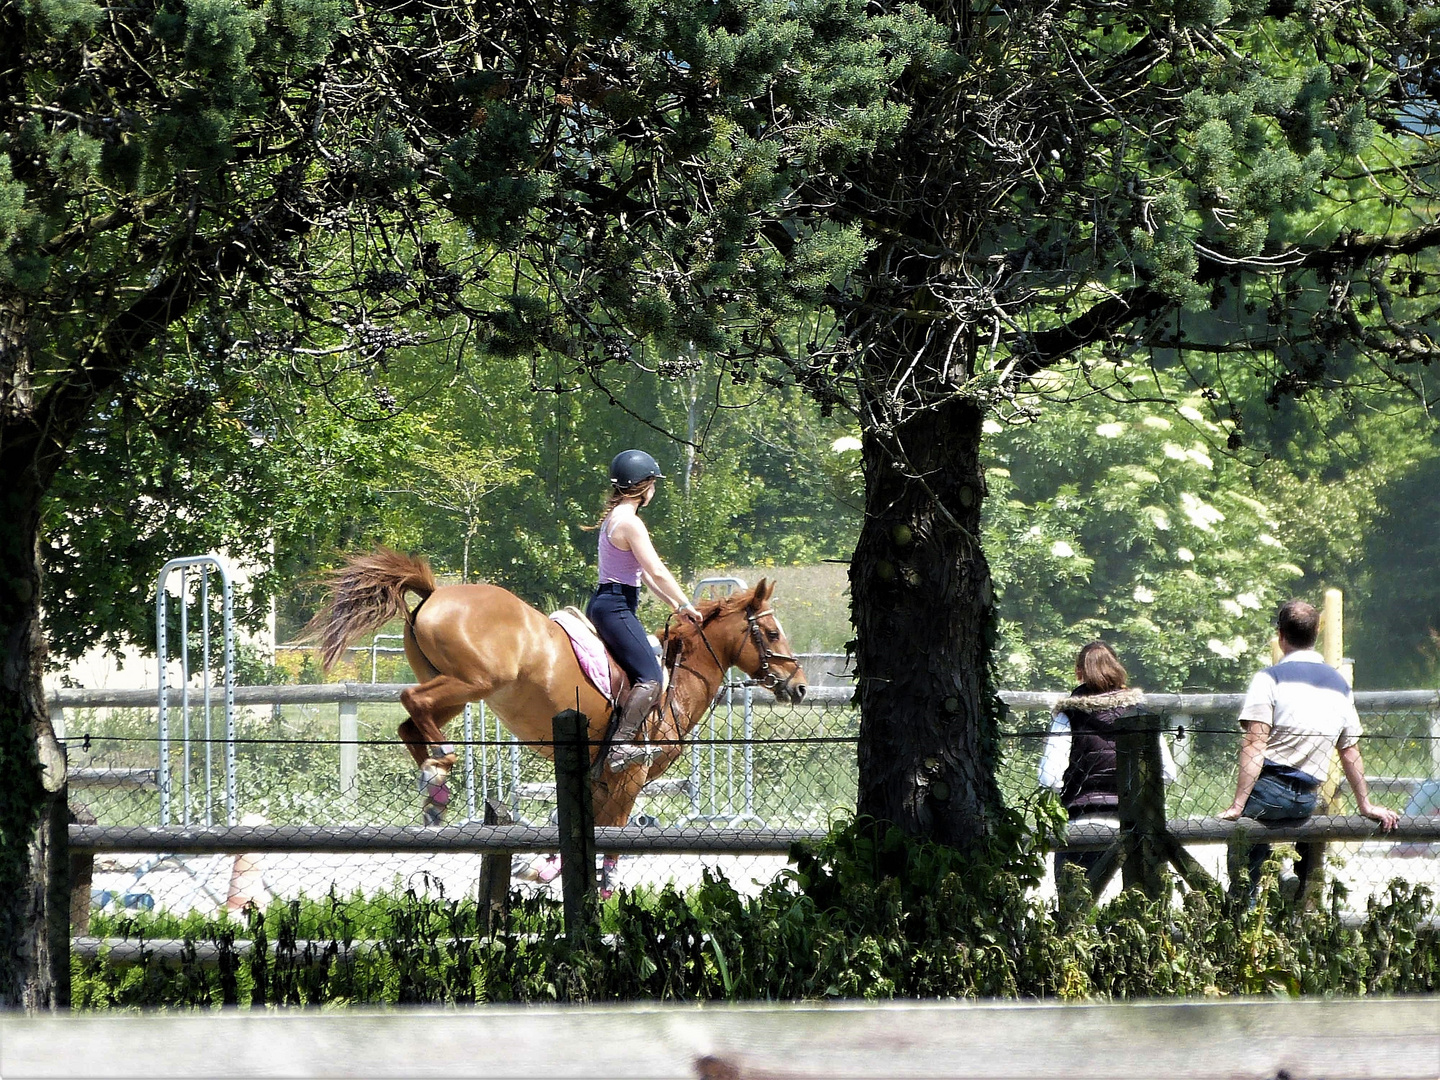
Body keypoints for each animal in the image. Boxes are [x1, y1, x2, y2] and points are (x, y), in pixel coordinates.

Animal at [302, 550, 806, 835]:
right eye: (773, 633)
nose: (798, 686)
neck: (675, 680)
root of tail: (435, 593)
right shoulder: (624, 782)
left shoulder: (596, 783)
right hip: (475, 682)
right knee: (413, 702)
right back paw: (440, 766)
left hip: (459, 693)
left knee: (411, 721)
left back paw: (436, 792)